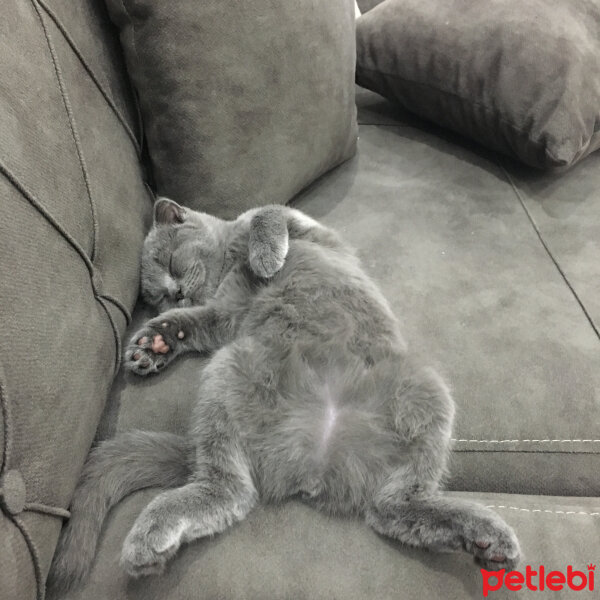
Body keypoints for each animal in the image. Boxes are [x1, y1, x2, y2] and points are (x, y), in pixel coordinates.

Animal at [47, 199, 516, 592]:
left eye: (170, 261)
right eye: (158, 295)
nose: (173, 292)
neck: (227, 264)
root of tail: (316, 464)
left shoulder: (310, 229)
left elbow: (266, 213)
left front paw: (266, 258)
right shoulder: (222, 320)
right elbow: (193, 321)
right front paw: (153, 343)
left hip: (425, 388)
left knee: (391, 506)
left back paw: (482, 536)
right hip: (229, 368)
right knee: (235, 493)